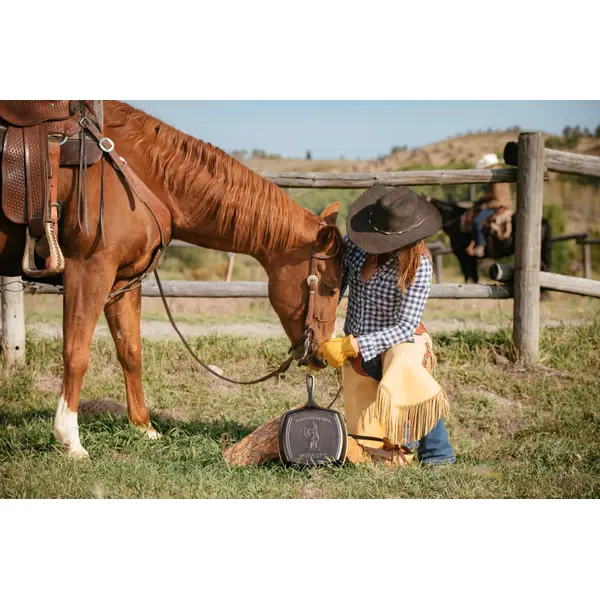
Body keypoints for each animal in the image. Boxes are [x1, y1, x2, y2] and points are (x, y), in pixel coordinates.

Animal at [0, 101, 344, 460]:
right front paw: (69, 439)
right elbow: (76, 352)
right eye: (330, 287)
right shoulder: (90, 269)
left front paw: (145, 428)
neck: (131, 168)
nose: (322, 355)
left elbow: (131, 351)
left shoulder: (122, 281)